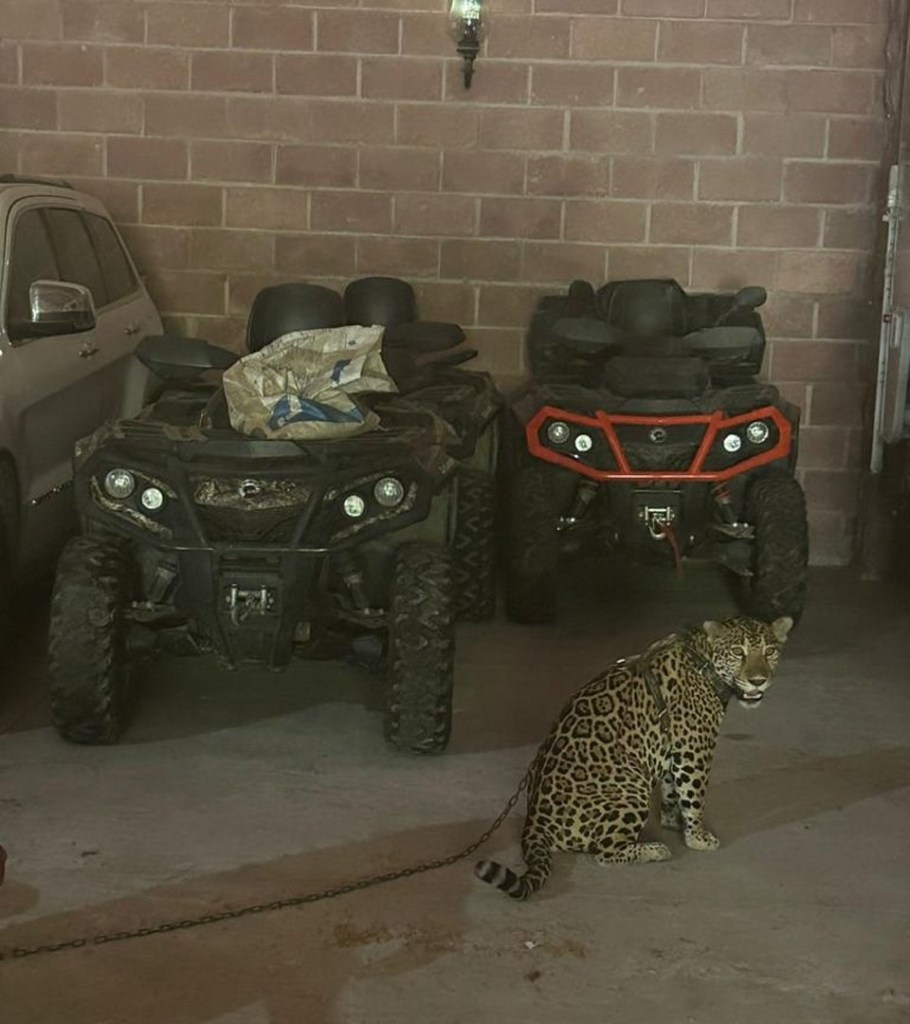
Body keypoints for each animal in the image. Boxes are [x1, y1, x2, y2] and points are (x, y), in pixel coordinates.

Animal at [475, 615, 793, 900]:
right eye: (738, 652)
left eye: (770, 652)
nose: (758, 681)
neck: (705, 661)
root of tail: (534, 821)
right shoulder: (695, 748)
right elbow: (694, 795)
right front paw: (697, 837)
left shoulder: (672, 748)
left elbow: (672, 790)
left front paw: (672, 821)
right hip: (631, 791)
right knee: (604, 853)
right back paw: (654, 850)